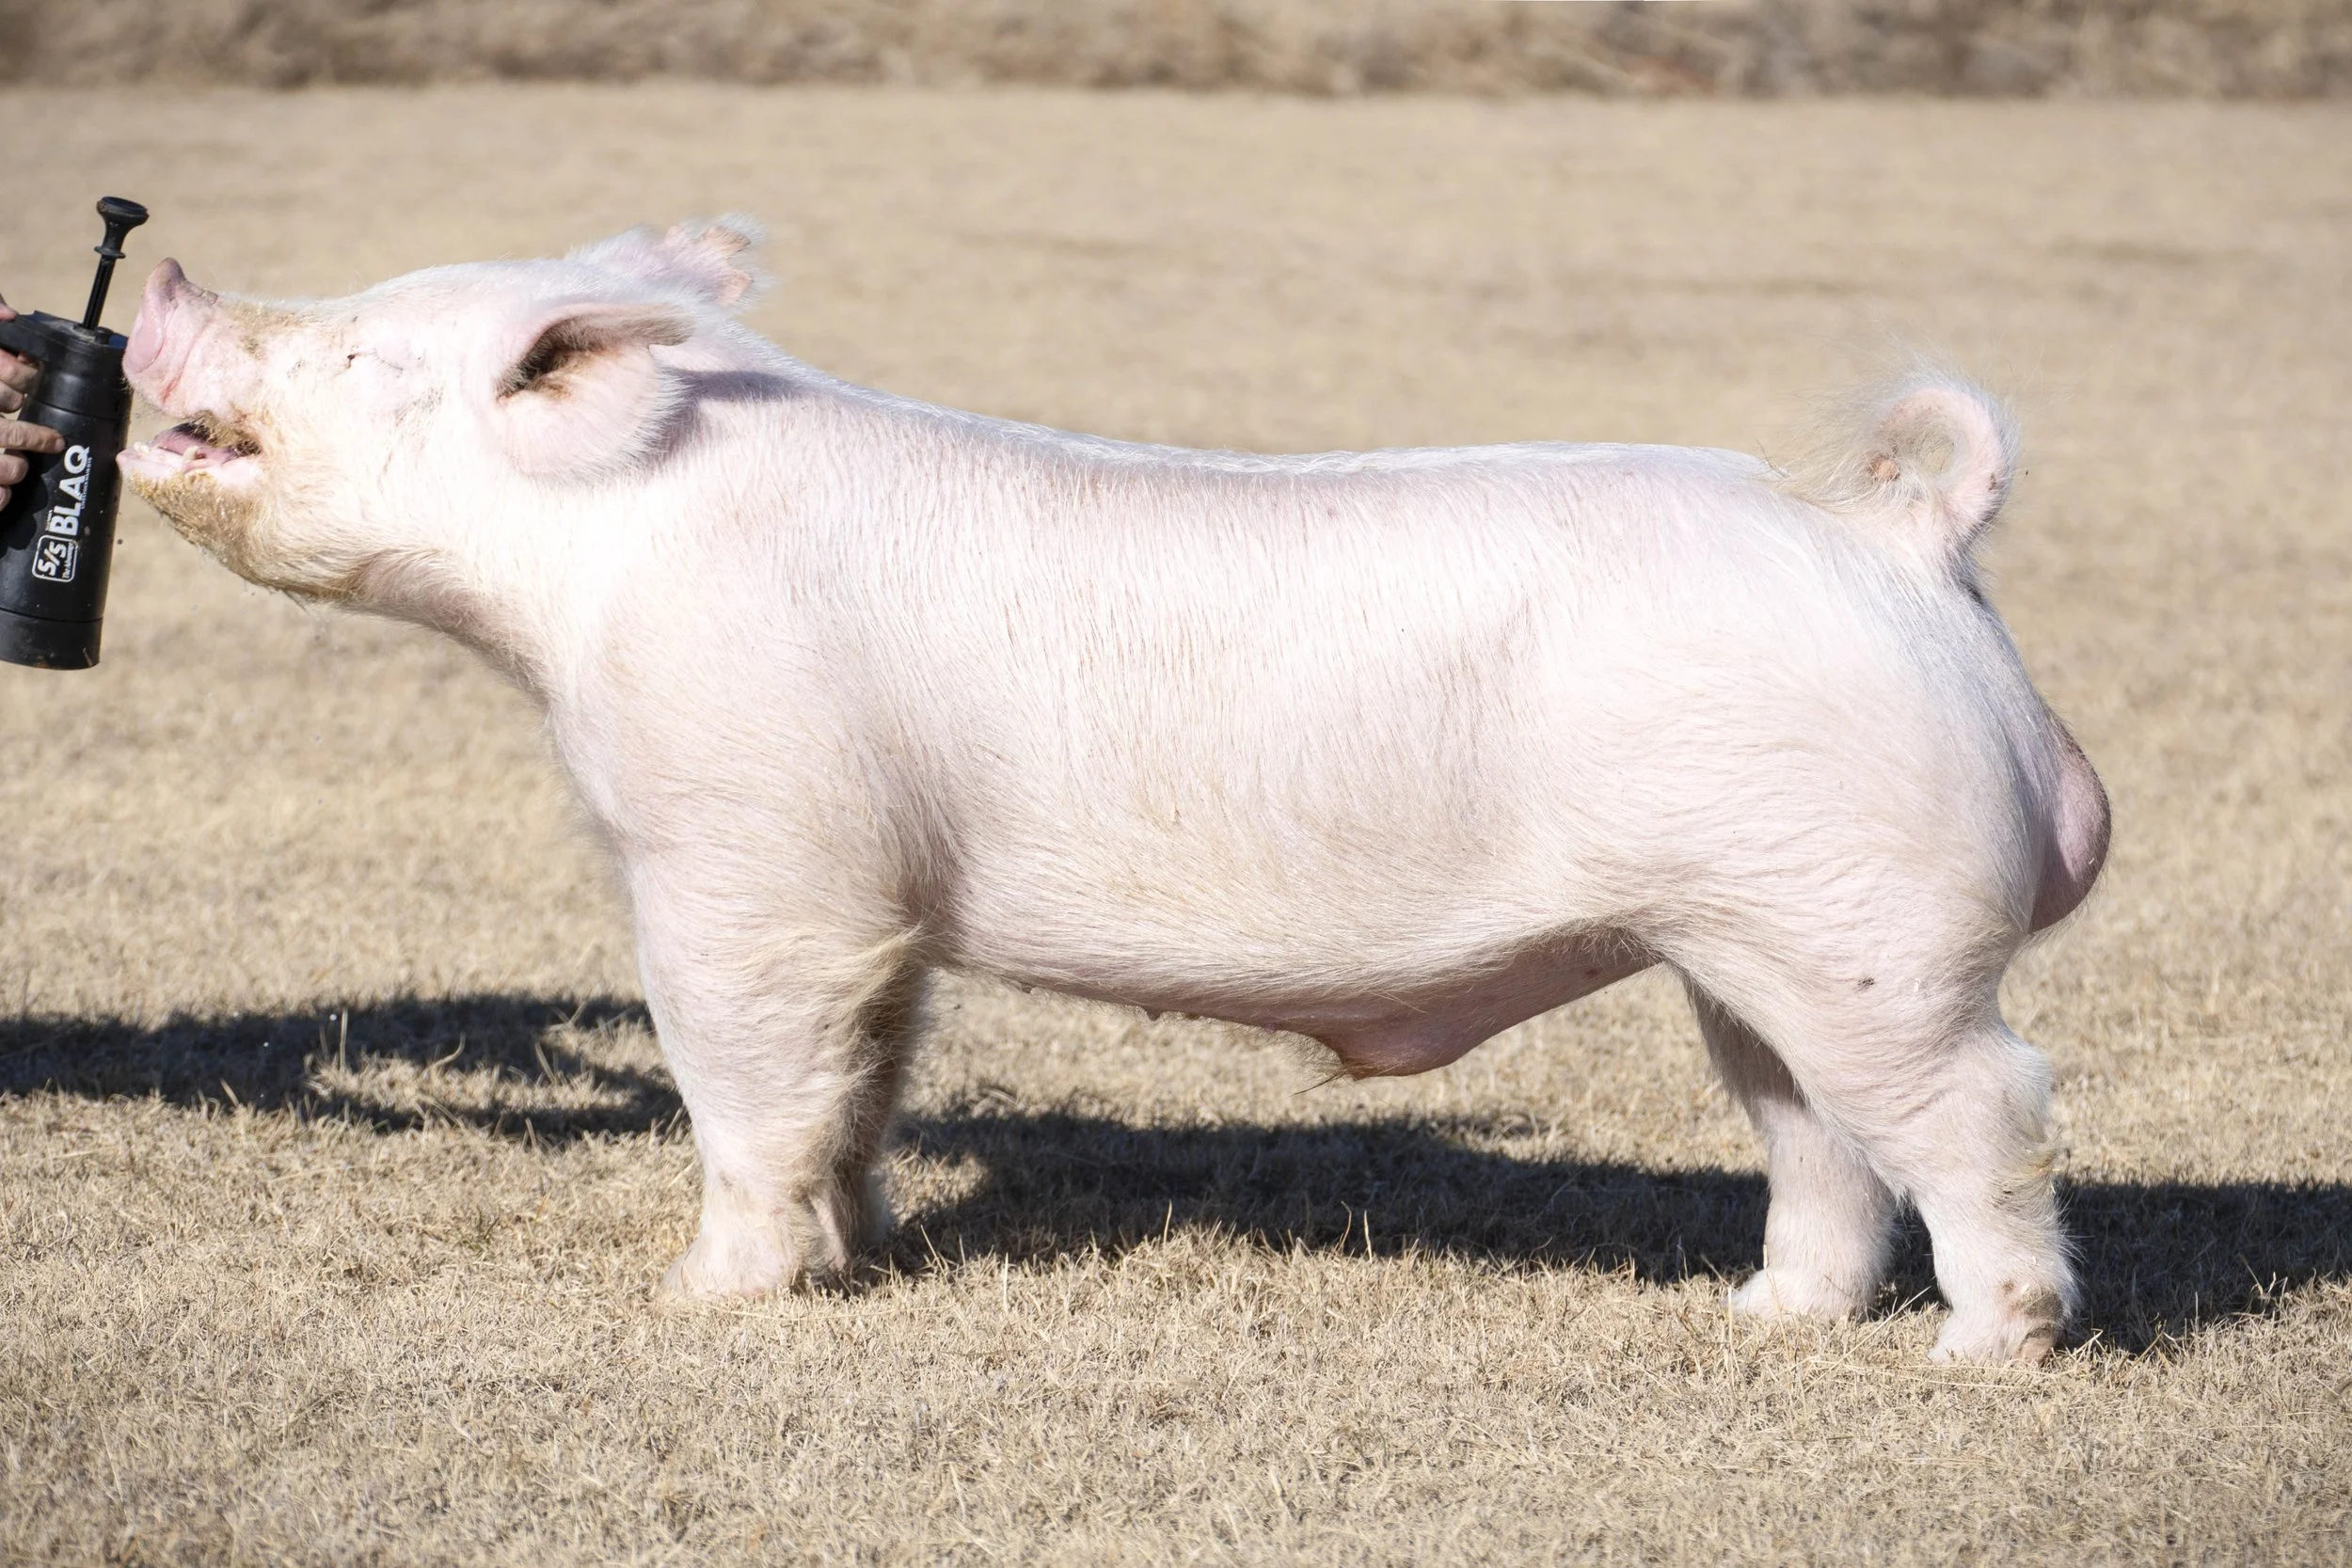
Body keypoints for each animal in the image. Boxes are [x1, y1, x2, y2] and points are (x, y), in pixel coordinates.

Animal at [118, 220, 2108, 1363]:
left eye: (367, 352)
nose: (162, 280)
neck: (596, 570)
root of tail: (1903, 533)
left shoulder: (747, 856)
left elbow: (748, 1077)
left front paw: (709, 1295)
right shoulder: (881, 906)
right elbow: (867, 1079)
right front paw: (864, 1252)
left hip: (1870, 930)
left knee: (1986, 1106)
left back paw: (1986, 1351)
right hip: (1753, 937)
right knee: (1814, 1134)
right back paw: (1765, 1319)